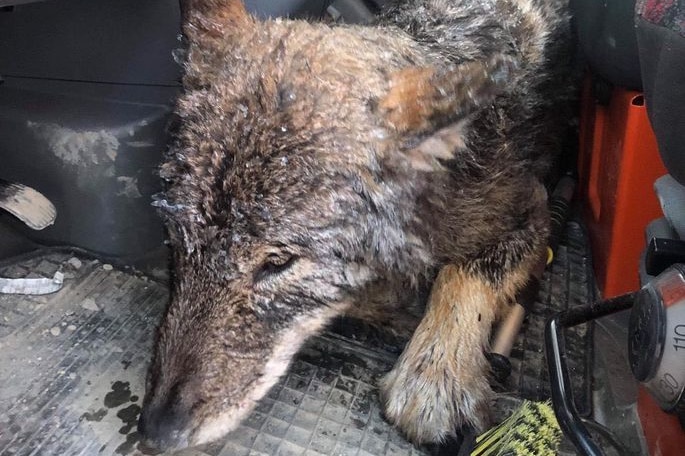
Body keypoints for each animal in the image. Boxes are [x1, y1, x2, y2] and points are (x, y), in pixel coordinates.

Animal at [138, 0, 572, 448]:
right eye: (176, 238)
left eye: (278, 263)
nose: (155, 431)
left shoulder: (532, 210)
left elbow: (465, 273)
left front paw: (435, 376)